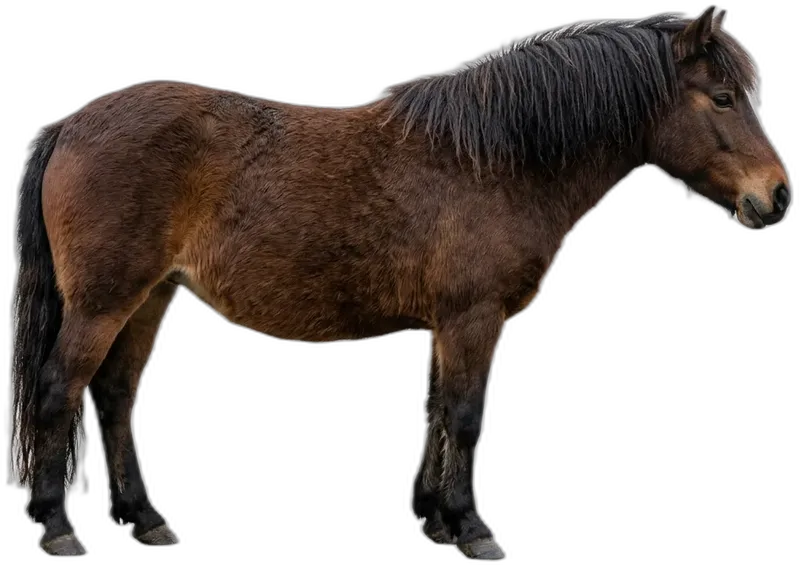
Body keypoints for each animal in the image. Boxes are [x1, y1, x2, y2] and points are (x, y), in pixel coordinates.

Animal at [9, 6, 791, 560]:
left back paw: (147, 519)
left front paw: (434, 519)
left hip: (150, 295)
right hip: (103, 302)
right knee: (59, 390)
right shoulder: (474, 318)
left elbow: (437, 411)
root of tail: (68, 125)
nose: (777, 196)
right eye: (723, 97)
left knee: (114, 398)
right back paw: (57, 526)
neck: (493, 158)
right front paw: (472, 528)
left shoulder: (447, 323)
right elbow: (467, 417)